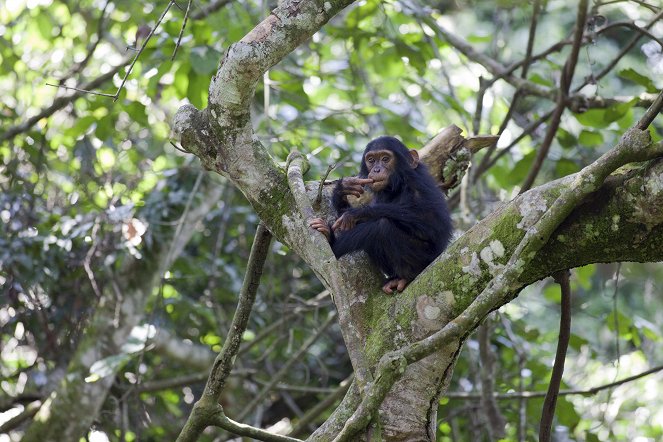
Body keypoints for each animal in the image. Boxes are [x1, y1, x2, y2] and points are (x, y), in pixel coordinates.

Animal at [310, 135, 454, 294]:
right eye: (371, 160)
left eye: (385, 158)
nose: (376, 169)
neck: (397, 185)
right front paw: (343, 189)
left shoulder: (419, 184)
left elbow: (432, 224)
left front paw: (358, 213)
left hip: (425, 260)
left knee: (381, 226)